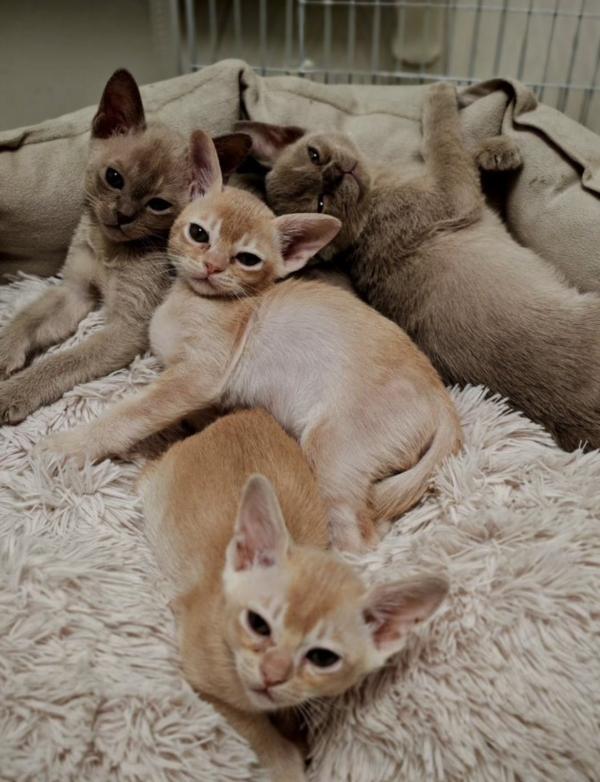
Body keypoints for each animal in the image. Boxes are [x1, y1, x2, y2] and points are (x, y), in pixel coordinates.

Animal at [0, 68, 250, 424]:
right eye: (114, 178)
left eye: (158, 205)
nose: (123, 216)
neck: (109, 251)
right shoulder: (75, 292)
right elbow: (26, 318)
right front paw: (4, 353)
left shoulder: (127, 328)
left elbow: (61, 362)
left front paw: (12, 393)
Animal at [39, 128, 462, 553]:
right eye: (198, 233)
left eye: (247, 259)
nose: (212, 267)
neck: (192, 301)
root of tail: (443, 399)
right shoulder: (197, 388)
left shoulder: (197, 376)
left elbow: (132, 412)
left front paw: (71, 445)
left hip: (331, 452)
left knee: (361, 537)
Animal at [140, 407, 448, 782]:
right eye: (258, 624)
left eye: (322, 658)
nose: (272, 674)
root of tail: (246, 413)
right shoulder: (201, 676)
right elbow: (257, 731)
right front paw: (286, 758)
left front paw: (295, 732)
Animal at [236, 84, 600, 452]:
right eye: (321, 203)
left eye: (314, 155)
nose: (335, 174)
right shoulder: (454, 195)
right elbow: (443, 138)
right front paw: (441, 91)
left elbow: (472, 164)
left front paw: (496, 152)